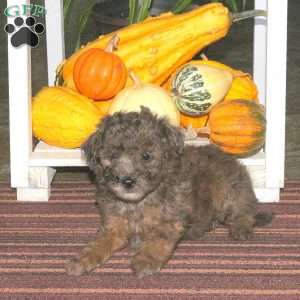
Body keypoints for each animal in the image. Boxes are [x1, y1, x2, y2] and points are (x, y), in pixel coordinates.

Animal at [67, 107, 274, 276]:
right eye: (113, 155)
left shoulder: (169, 221)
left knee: (245, 212)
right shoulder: (113, 227)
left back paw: (240, 228)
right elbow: (99, 243)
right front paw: (83, 259)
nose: (127, 181)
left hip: (229, 191)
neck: (138, 203)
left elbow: (158, 239)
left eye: (147, 156)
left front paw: (146, 260)